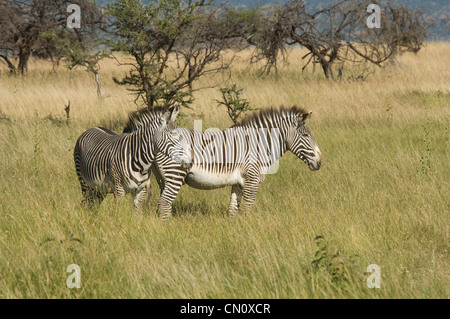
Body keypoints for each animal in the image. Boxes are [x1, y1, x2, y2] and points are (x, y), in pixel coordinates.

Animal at [125, 105, 324, 220]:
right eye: (306, 136)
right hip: (175, 174)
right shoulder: (252, 180)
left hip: (161, 178)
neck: (258, 144)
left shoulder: (238, 183)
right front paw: (250, 229)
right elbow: (248, 208)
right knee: (165, 203)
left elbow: (233, 210)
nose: (320, 162)